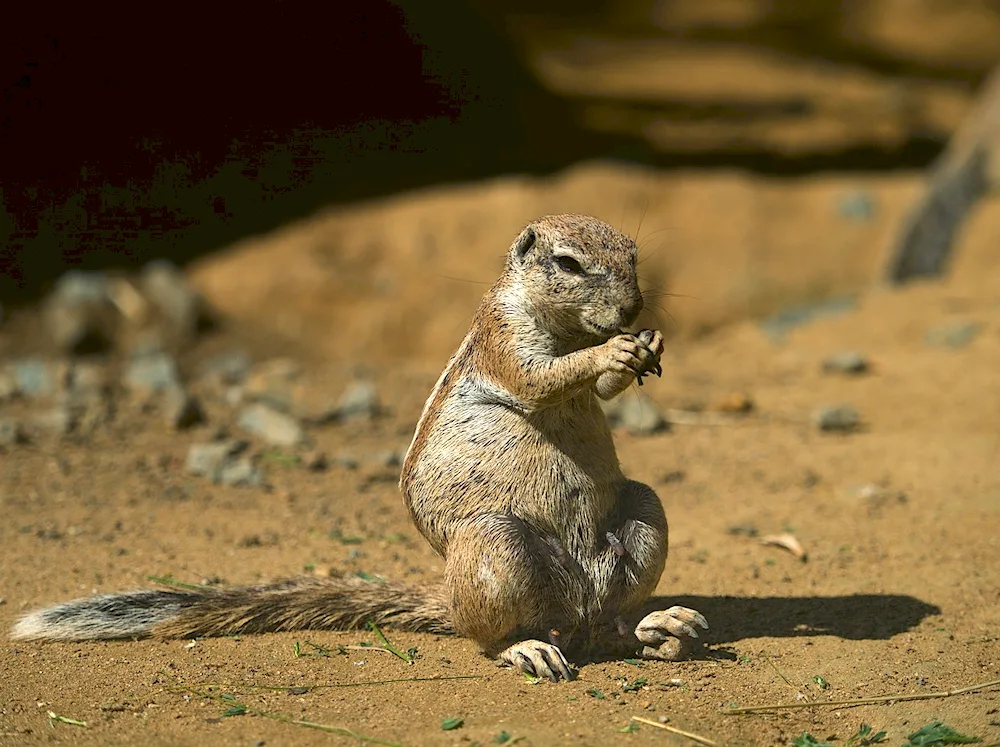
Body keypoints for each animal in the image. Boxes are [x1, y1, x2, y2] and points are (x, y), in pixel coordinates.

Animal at [11, 213, 708, 680]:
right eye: (566, 264)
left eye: (635, 254)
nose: (633, 308)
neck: (563, 325)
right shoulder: (504, 340)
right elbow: (542, 376)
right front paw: (610, 351)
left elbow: (605, 390)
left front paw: (644, 346)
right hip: (497, 547)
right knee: (497, 637)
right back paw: (528, 647)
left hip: (641, 513)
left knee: (609, 622)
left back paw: (655, 626)